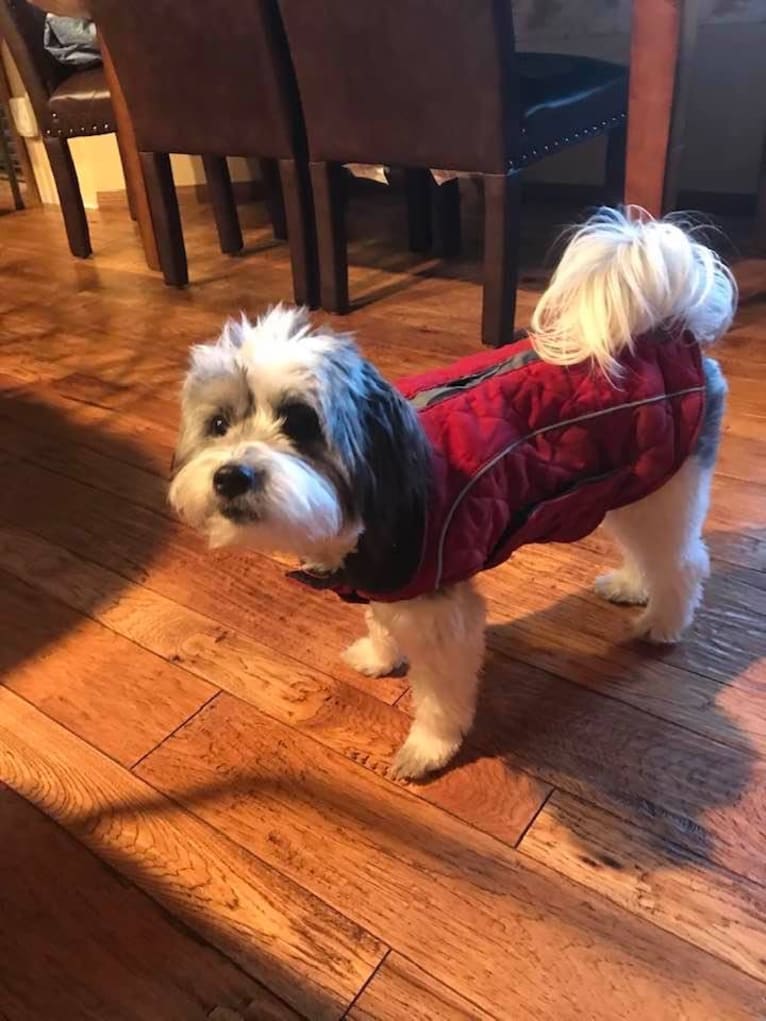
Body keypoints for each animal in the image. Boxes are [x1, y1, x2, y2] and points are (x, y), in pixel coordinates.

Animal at [172, 207, 739, 780]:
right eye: (218, 425)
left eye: (300, 423)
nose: (231, 476)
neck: (383, 482)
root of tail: (668, 331)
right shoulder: (390, 580)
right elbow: (381, 622)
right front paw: (380, 656)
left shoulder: (442, 610)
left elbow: (441, 696)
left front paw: (429, 747)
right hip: (630, 486)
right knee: (650, 553)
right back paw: (632, 586)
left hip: (665, 491)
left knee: (683, 562)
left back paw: (662, 623)